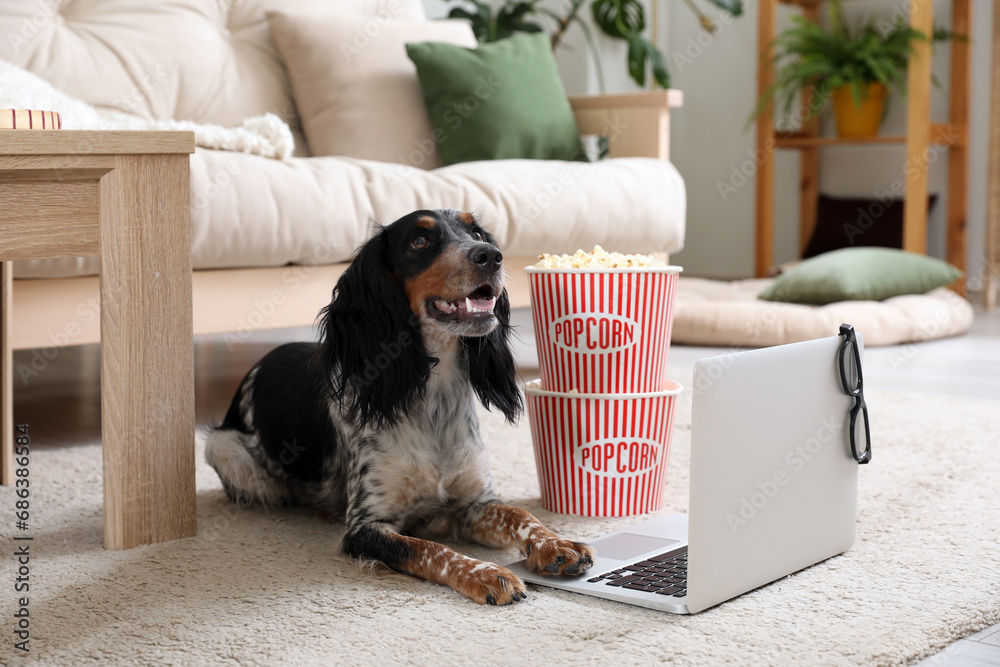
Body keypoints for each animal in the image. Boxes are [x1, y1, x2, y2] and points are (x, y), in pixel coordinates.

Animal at [204, 209, 592, 604]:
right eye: (419, 241)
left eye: (477, 233)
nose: (491, 256)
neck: (432, 398)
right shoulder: (365, 526)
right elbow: (428, 549)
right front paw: (485, 573)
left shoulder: (475, 504)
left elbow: (519, 514)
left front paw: (556, 544)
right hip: (226, 451)